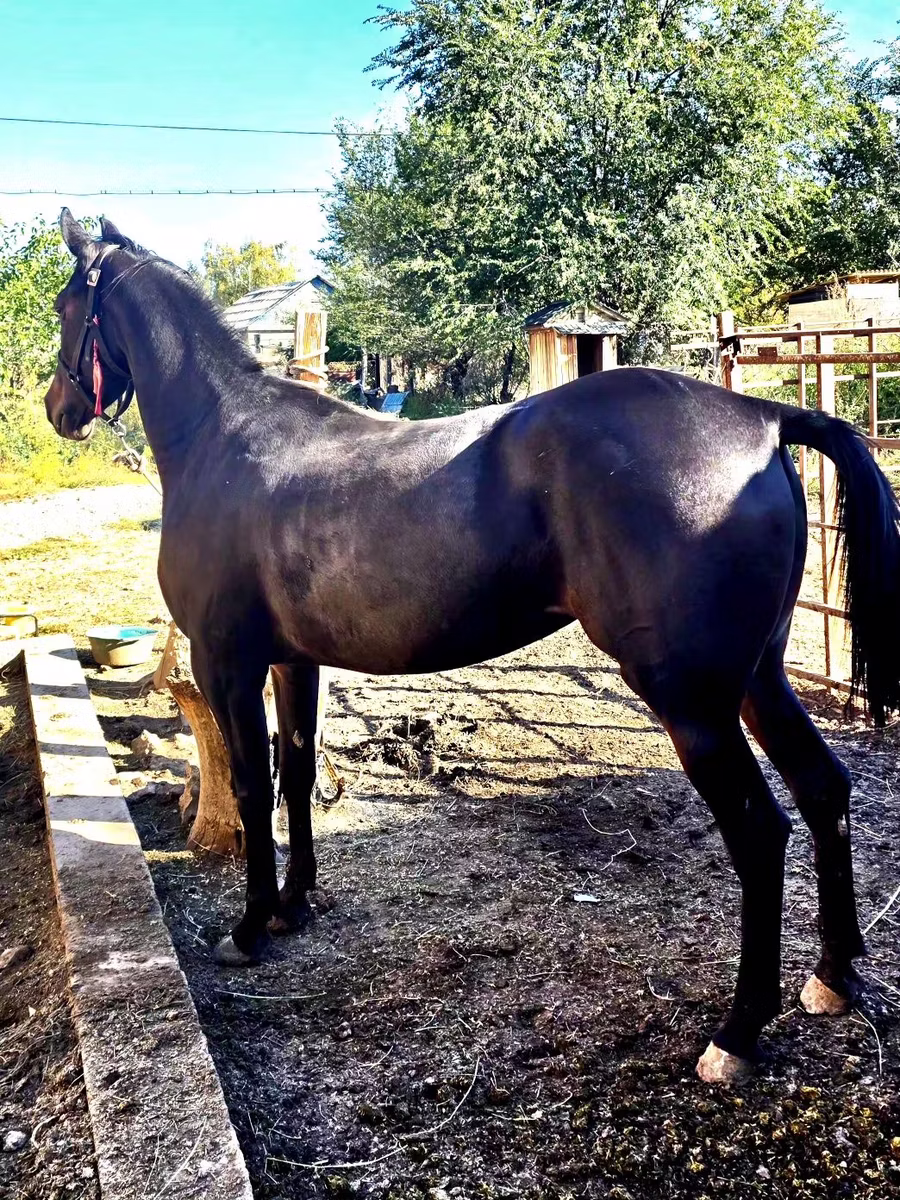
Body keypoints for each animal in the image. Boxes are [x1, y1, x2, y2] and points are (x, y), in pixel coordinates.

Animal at [45, 210, 900, 1084]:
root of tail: (761, 419)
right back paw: (833, 977)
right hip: (759, 680)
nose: (56, 407)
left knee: (760, 834)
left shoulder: (228, 664)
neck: (225, 439)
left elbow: (255, 787)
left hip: (693, 704)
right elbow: (297, 772)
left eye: (62, 308)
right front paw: (293, 905)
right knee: (824, 789)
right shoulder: (292, 662)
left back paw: (736, 1033)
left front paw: (249, 929)